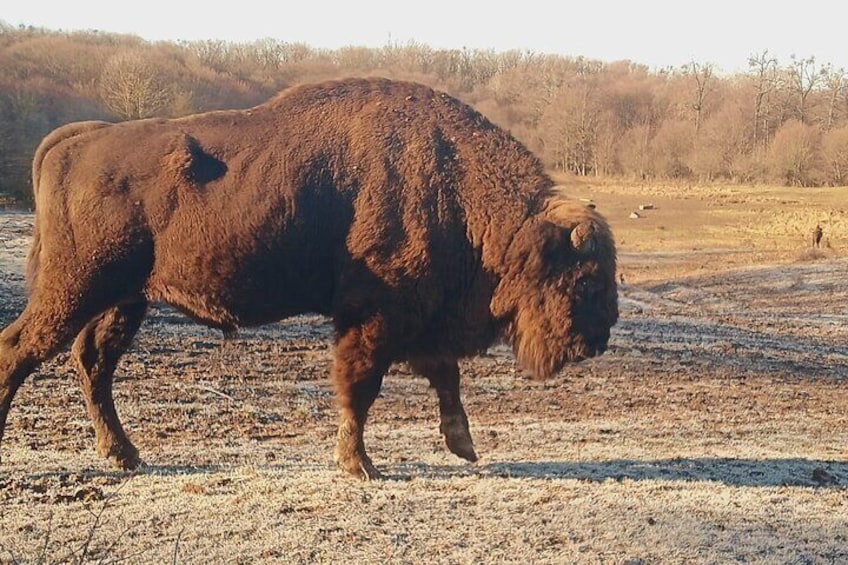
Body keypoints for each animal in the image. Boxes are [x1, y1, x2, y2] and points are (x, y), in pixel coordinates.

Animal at [0, 77, 616, 478]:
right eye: (584, 279)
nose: (600, 336)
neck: (458, 185)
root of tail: (75, 140)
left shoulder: (416, 321)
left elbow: (444, 376)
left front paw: (463, 446)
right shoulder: (375, 317)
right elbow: (362, 386)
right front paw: (360, 465)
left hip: (124, 300)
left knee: (92, 363)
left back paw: (125, 455)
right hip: (75, 289)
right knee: (21, 349)